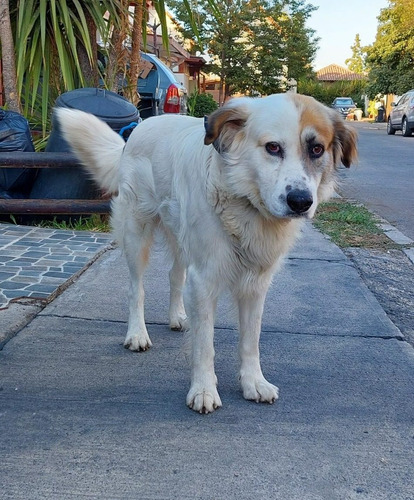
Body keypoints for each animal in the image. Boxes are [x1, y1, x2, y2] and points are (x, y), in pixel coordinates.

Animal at [56, 94, 358, 414]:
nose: (300, 201)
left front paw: (254, 382)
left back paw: (178, 316)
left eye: (317, 149)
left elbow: (250, 340)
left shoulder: (255, 285)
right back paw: (137, 334)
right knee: (135, 288)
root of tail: (141, 126)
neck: (245, 203)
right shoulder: (204, 279)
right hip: (137, 233)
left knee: (174, 275)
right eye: (273, 147)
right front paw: (203, 389)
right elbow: (205, 344)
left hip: (181, 238)